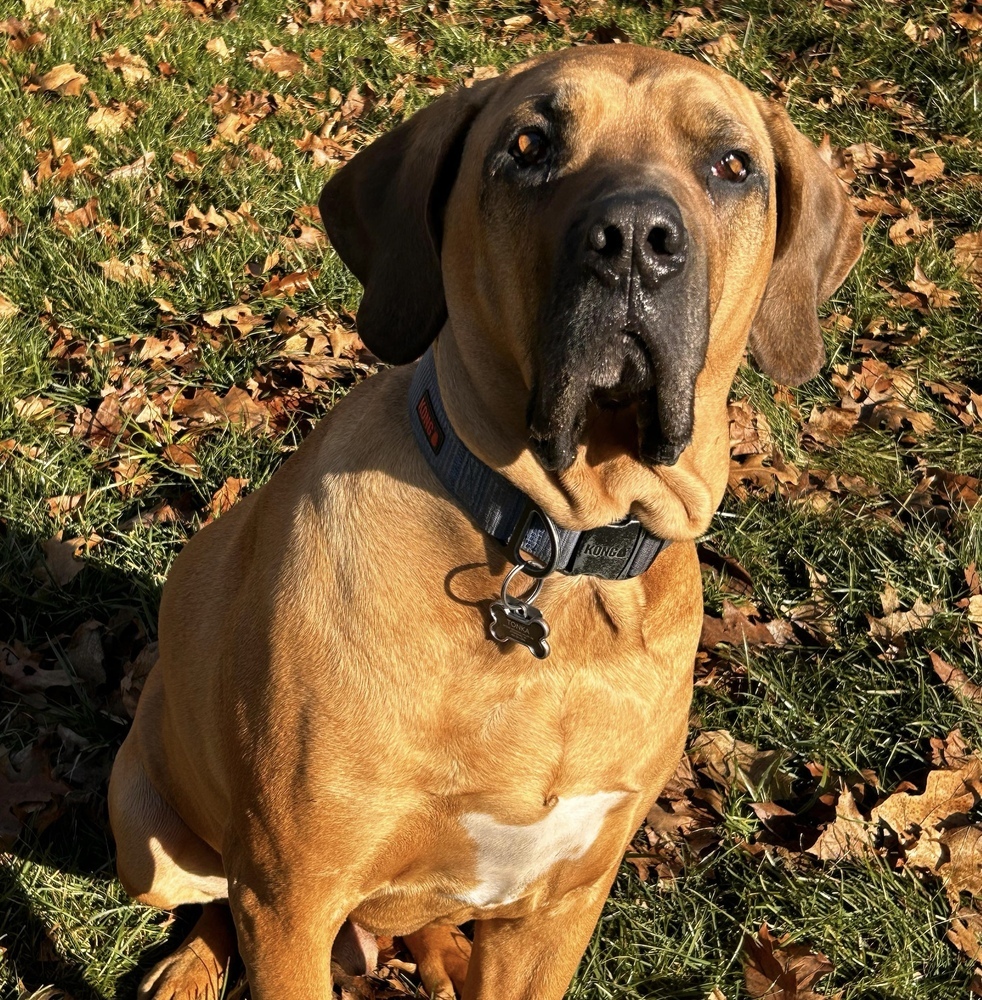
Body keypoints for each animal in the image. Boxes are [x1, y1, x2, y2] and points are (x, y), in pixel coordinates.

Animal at [105, 45, 860, 1000]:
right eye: (528, 146)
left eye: (732, 165)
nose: (634, 244)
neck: (554, 545)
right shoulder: (289, 901)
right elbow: (260, 904)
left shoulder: (559, 907)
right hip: (149, 833)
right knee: (208, 894)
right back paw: (191, 966)